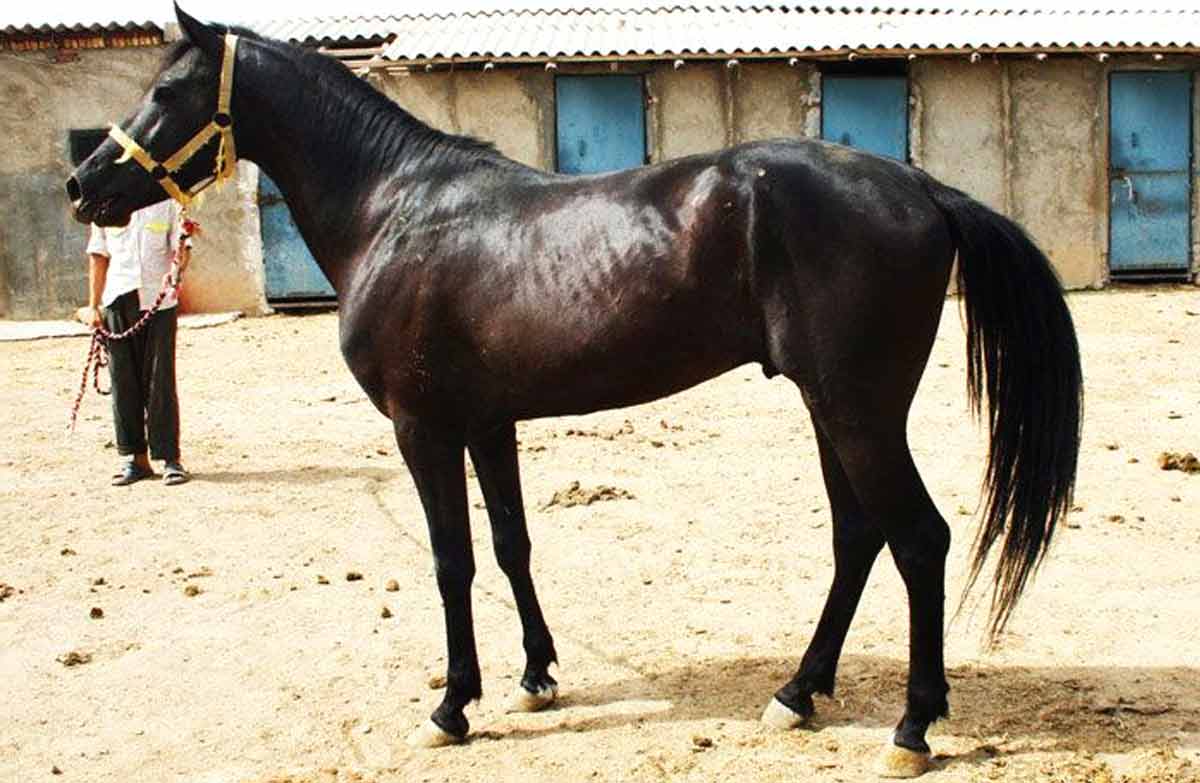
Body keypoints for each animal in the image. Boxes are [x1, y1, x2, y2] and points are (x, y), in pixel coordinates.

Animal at [67, 6, 1082, 776]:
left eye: (166, 93)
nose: (83, 186)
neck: (396, 207)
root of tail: (921, 186)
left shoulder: (423, 427)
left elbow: (452, 559)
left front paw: (452, 706)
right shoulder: (487, 422)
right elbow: (511, 545)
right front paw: (535, 678)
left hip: (856, 409)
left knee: (918, 538)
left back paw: (911, 728)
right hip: (834, 409)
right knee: (859, 537)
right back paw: (796, 693)